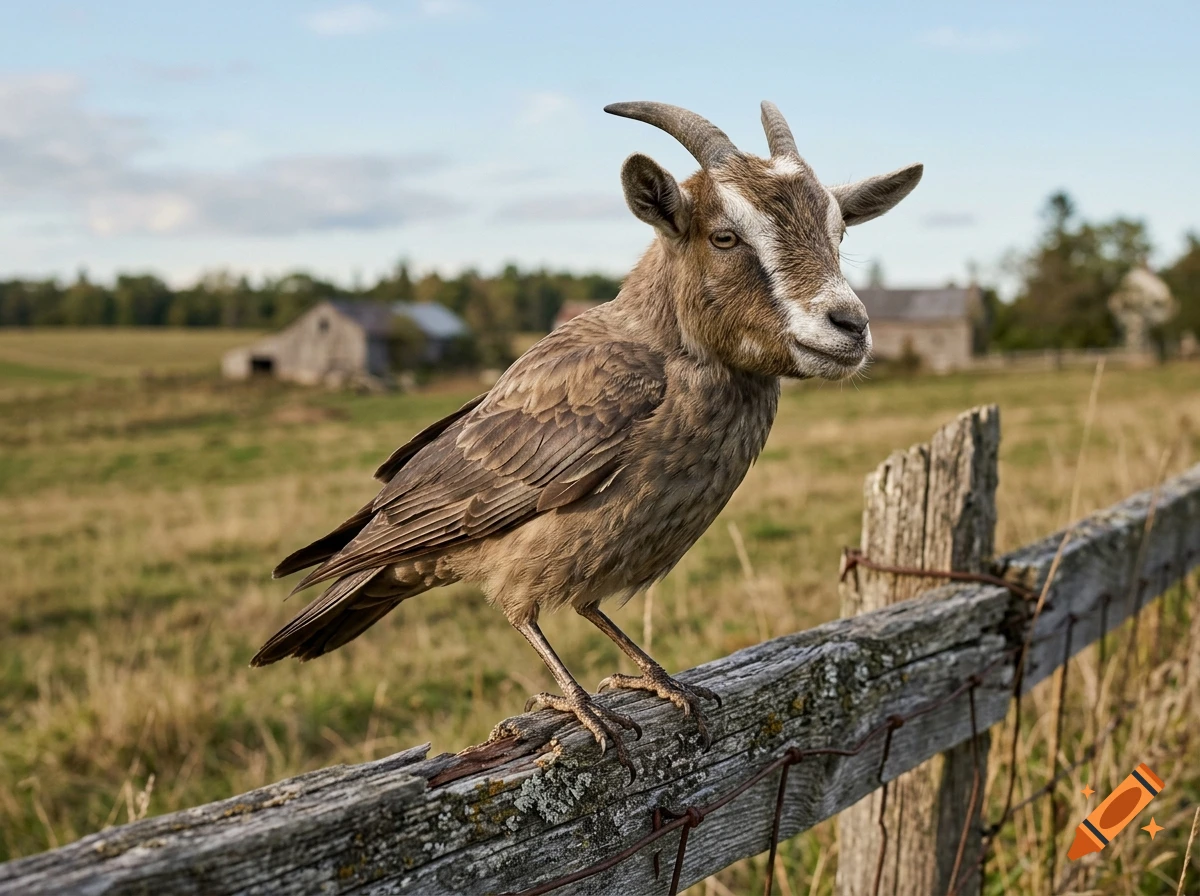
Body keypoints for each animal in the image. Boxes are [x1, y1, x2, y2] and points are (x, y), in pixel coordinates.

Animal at [252, 100, 923, 774]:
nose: (851, 324)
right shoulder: (547, 549)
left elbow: (595, 610)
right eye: (725, 237)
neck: (680, 352)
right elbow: (528, 618)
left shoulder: (622, 543)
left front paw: (658, 679)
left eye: (839, 235)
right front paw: (580, 705)